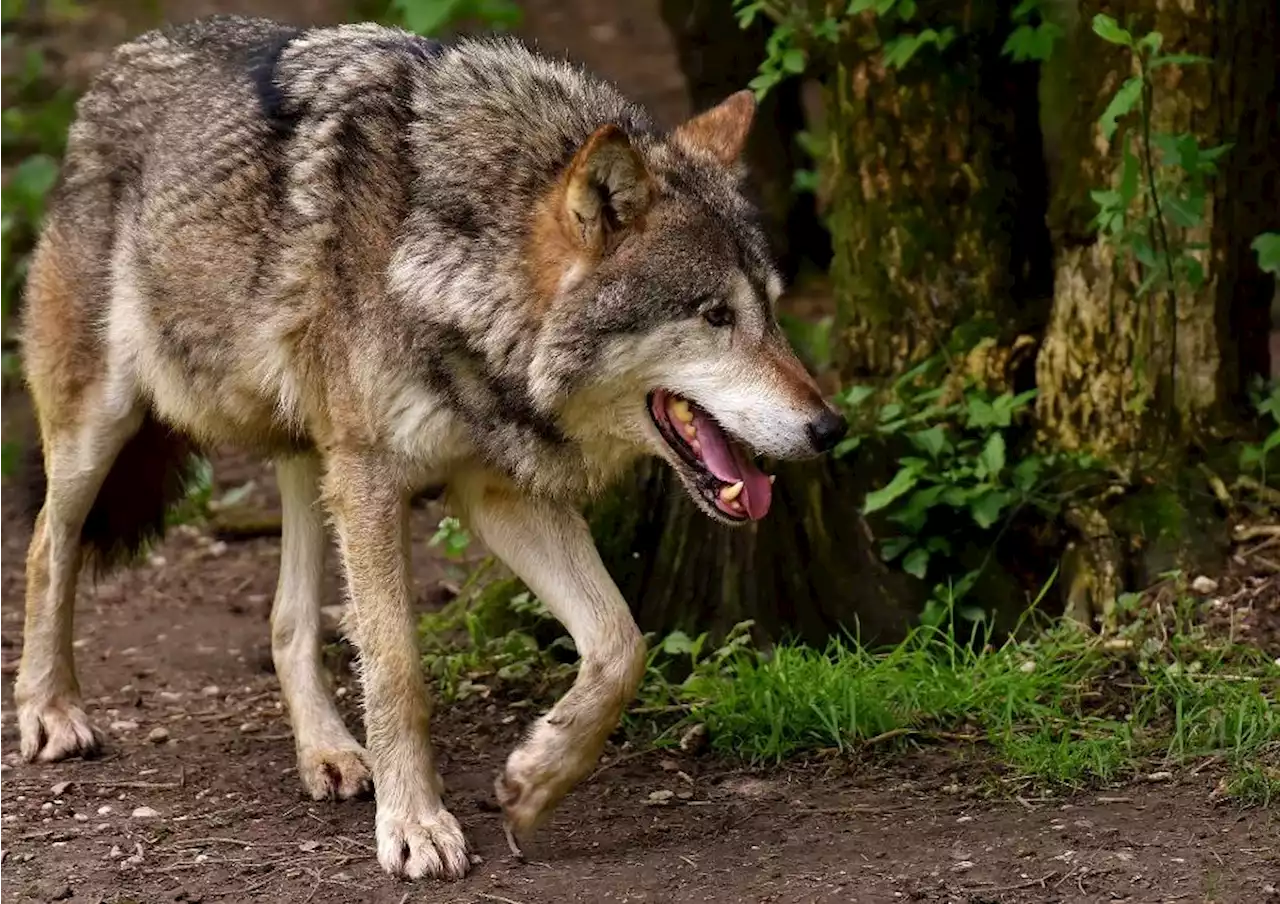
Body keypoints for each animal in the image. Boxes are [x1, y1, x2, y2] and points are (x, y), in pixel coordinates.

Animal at [15, 12, 849, 870]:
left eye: (773, 310)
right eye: (716, 316)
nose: (831, 427)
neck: (457, 264)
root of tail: (123, 59)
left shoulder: (497, 491)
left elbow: (622, 645)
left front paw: (534, 782)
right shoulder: (376, 480)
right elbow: (397, 668)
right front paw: (415, 825)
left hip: (313, 458)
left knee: (286, 621)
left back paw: (329, 753)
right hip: (104, 429)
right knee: (47, 544)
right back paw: (51, 711)